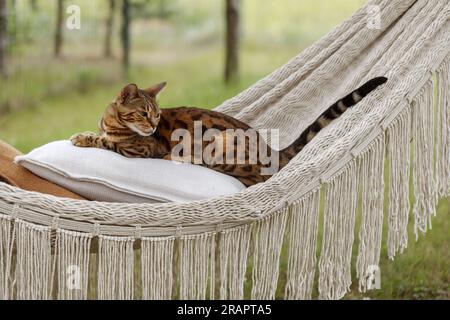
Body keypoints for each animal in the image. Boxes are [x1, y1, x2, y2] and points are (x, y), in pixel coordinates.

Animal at [70, 78, 386, 188]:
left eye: (156, 115)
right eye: (143, 113)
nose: (152, 127)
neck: (112, 121)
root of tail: (272, 150)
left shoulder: (142, 148)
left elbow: (107, 142)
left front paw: (83, 138)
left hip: (221, 146)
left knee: (249, 177)